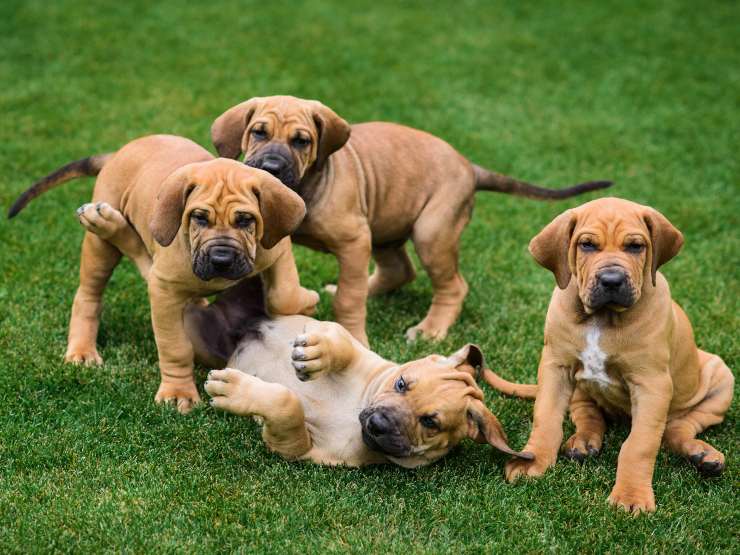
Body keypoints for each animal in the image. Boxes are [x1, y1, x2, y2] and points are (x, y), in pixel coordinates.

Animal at [8, 135, 320, 412]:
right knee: (90, 294)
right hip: (100, 250)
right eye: (199, 218)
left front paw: (306, 300)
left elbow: (284, 296)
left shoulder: (278, 250)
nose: (221, 260)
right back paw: (83, 347)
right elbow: (175, 347)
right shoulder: (164, 291)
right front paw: (178, 393)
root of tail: (118, 153)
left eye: (245, 220)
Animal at [179, 280, 532, 466]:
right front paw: (318, 353)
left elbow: (288, 407)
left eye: (430, 423)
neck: (354, 407)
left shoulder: (302, 450)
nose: (378, 425)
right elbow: (339, 342)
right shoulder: (352, 345)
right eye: (400, 383)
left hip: (199, 333)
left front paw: (234, 391)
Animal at [210, 96, 612, 348]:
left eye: (301, 141)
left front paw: (353, 336)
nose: (271, 168)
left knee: (451, 286)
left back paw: (430, 330)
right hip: (387, 226)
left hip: (431, 233)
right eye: (258, 132)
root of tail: (470, 168)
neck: (308, 185)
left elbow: (350, 300)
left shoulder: (354, 240)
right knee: (398, 270)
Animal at [486, 198, 736, 516]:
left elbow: (639, 444)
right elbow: (547, 418)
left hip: (720, 375)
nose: (611, 280)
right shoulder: (555, 367)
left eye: (635, 246)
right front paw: (533, 460)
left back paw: (702, 454)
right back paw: (584, 440)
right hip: (579, 387)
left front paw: (631, 495)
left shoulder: (652, 384)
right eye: (587, 245)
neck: (602, 319)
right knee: (587, 412)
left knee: (676, 429)